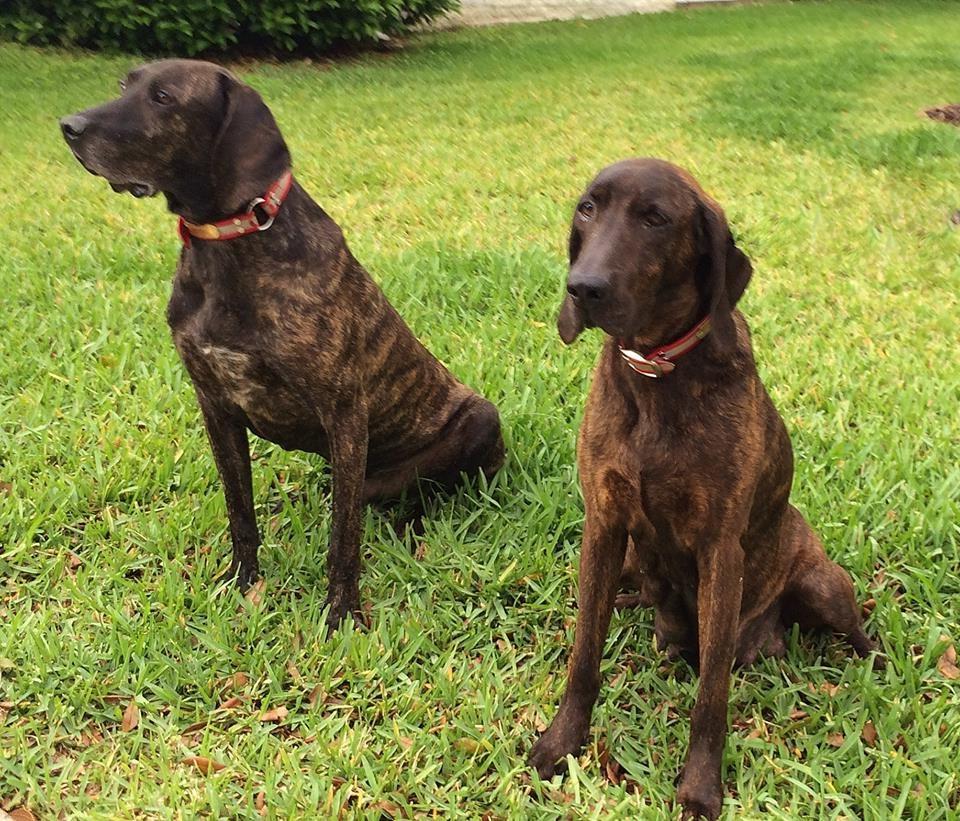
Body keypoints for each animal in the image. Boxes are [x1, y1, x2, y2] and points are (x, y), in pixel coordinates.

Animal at [59, 60, 502, 624]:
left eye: (163, 98)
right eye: (124, 86)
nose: (68, 126)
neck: (231, 244)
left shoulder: (345, 413)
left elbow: (343, 540)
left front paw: (343, 615)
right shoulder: (216, 408)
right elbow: (239, 511)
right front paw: (241, 581)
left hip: (478, 422)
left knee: (421, 497)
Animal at [528, 157, 872, 816]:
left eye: (655, 219)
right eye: (588, 208)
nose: (582, 288)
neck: (657, 374)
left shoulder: (719, 552)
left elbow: (712, 693)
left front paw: (700, 787)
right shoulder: (604, 528)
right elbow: (584, 656)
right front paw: (561, 743)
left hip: (822, 586)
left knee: (859, 627)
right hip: (631, 563)